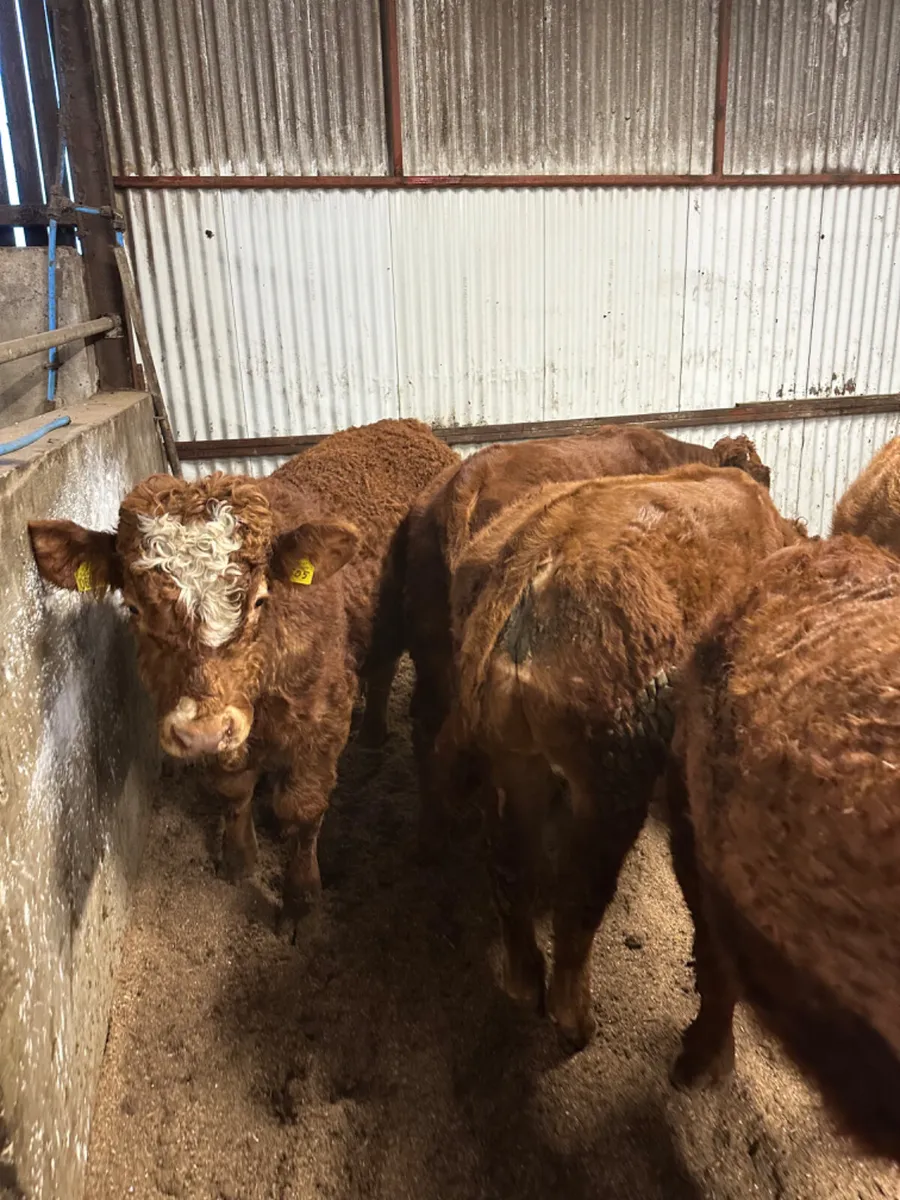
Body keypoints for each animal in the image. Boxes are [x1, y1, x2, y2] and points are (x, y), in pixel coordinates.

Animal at [29, 419, 458, 924]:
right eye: (133, 608)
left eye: (258, 601)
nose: (202, 732)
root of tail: (407, 425)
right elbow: (234, 790)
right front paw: (238, 858)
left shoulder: (324, 717)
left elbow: (303, 809)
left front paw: (300, 897)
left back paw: (371, 735)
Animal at [436, 462, 800, 1048]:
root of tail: (533, 559)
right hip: (609, 775)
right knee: (580, 897)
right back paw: (575, 1019)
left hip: (515, 762)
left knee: (511, 870)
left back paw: (523, 983)